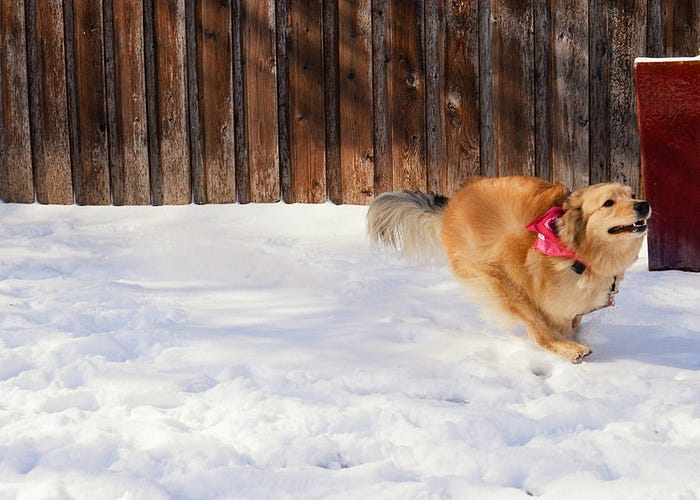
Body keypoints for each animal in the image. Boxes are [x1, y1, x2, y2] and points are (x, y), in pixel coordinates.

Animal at [367, 176, 651, 363]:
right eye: (608, 203)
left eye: (632, 195)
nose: (643, 204)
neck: (575, 250)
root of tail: (450, 208)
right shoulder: (552, 307)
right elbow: (550, 330)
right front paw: (569, 344)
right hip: (503, 282)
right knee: (537, 333)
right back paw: (571, 350)